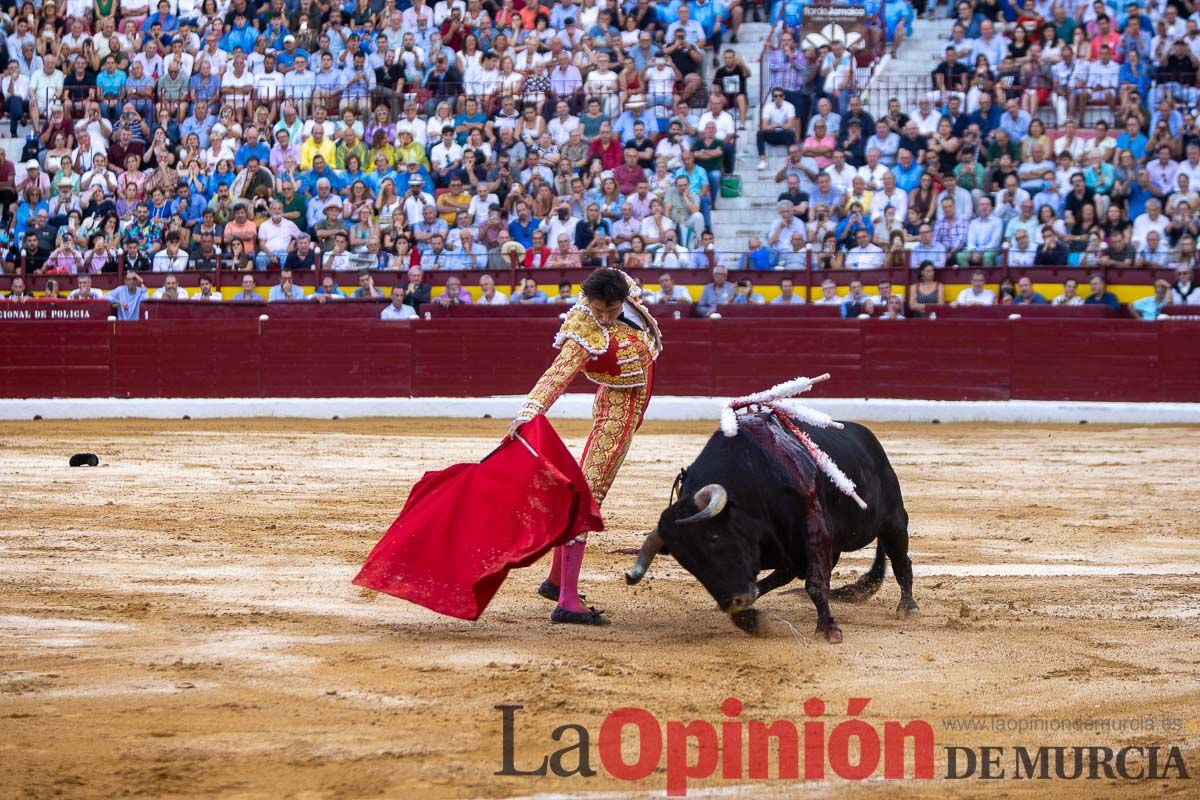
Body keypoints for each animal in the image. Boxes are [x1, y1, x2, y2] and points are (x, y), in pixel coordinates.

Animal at [624, 412, 912, 642]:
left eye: (714, 538)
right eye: (687, 562)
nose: (735, 600)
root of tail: (868, 439)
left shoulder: (814, 532)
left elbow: (816, 583)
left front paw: (828, 630)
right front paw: (760, 623)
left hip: (893, 521)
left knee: (901, 561)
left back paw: (908, 609)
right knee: (783, 574)